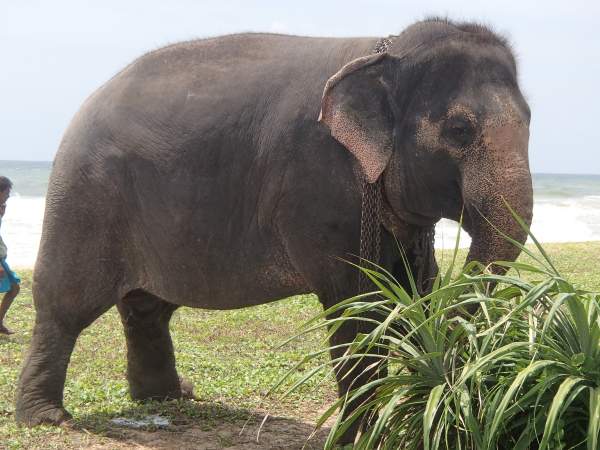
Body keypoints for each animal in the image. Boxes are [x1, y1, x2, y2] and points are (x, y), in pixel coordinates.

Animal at [15, 17, 528, 442]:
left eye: (530, 122)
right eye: (459, 130)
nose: (463, 362)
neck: (387, 50)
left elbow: (406, 291)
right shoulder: (319, 185)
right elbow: (357, 306)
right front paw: (366, 433)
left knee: (147, 308)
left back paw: (169, 396)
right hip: (84, 196)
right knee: (65, 304)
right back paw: (47, 418)